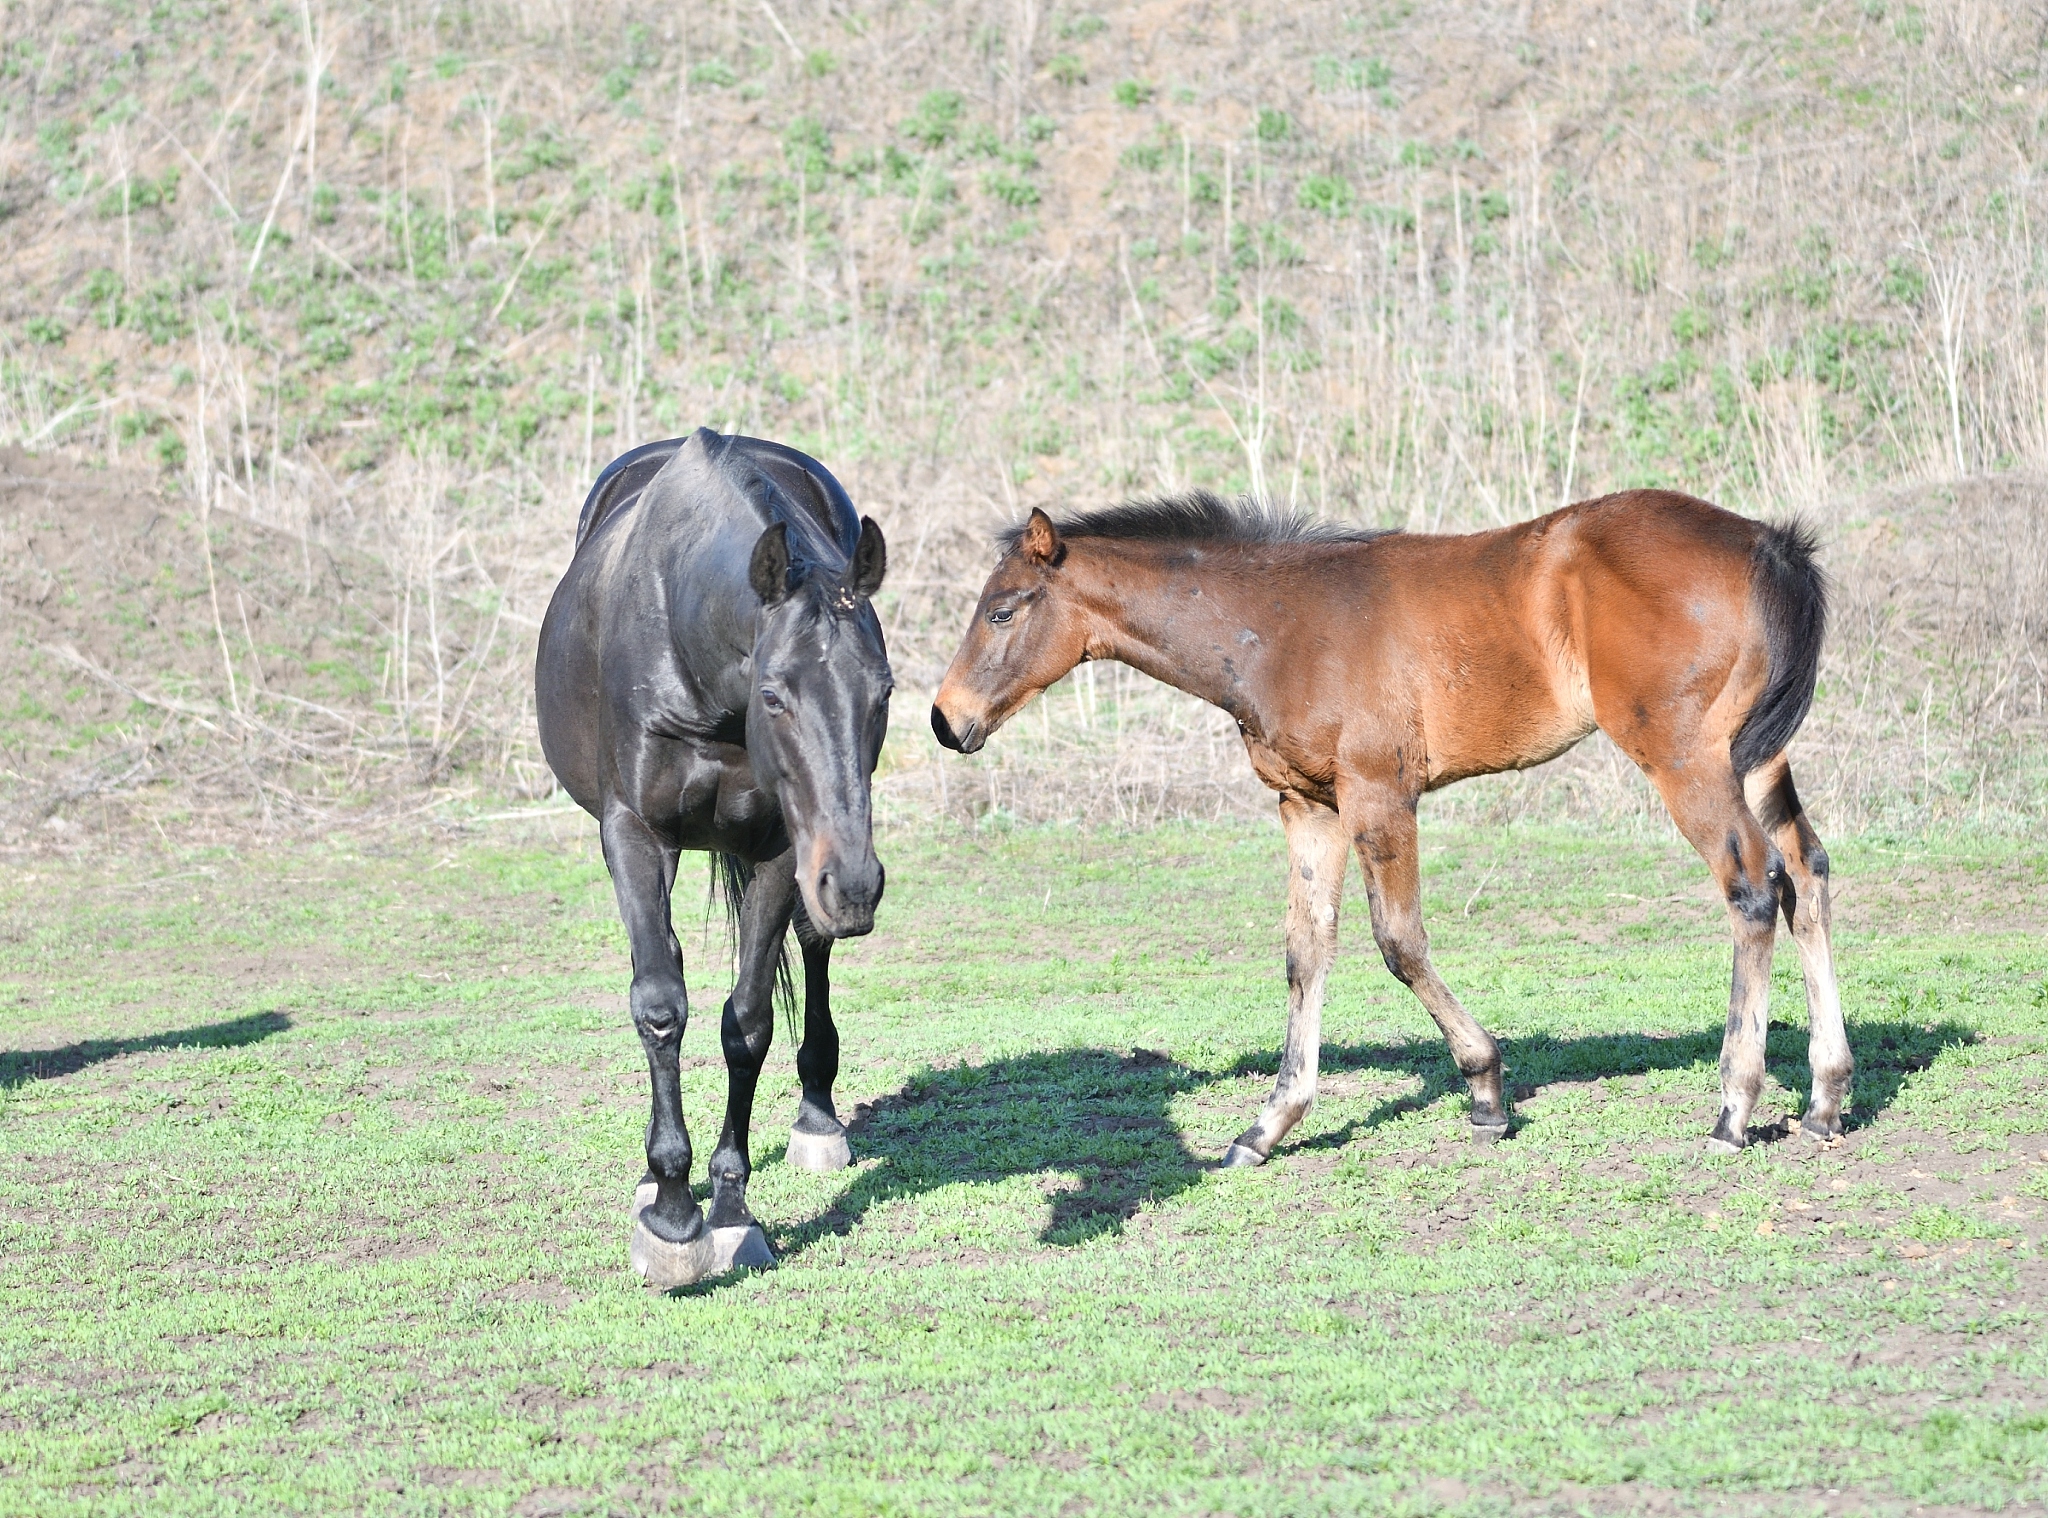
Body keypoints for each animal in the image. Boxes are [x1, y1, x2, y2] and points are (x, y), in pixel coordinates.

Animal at [537, 428, 891, 1287]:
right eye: (775, 696)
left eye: (884, 692)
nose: (858, 885)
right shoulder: (635, 836)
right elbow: (661, 1006)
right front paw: (670, 1210)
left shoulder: (782, 850)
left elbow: (748, 1021)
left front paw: (730, 1208)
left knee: (813, 946)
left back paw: (818, 1117)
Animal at [930, 489, 1842, 1162]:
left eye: (1004, 611)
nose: (946, 720)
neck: (1280, 625)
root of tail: (1766, 542)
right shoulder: (1309, 806)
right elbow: (1306, 950)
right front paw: (1267, 1125)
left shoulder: (1380, 797)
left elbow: (1398, 942)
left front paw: (1485, 1089)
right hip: (1754, 756)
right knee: (1807, 874)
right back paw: (1827, 1096)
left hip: (1686, 758)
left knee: (1753, 886)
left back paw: (1732, 1109)